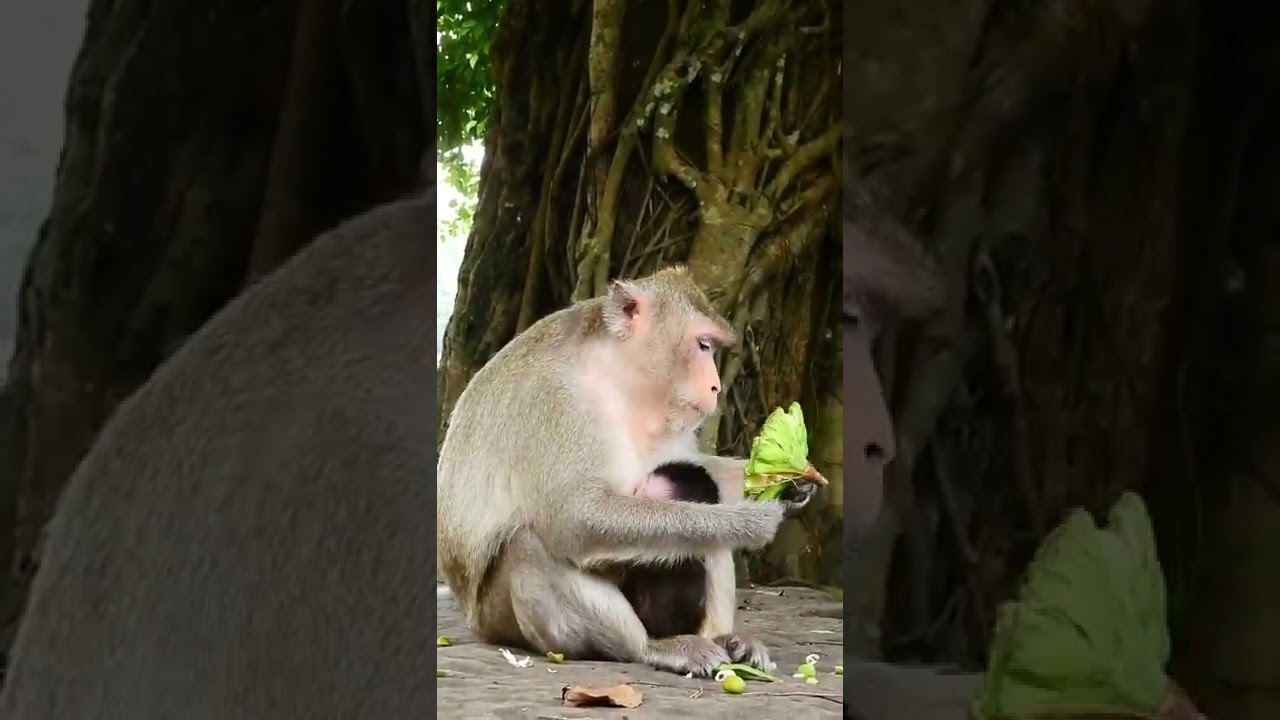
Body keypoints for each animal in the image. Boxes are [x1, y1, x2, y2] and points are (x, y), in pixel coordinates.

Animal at [435, 266, 790, 679]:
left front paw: (785, 481)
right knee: (528, 543)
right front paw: (750, 522)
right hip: (499, 619)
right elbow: (578, 519)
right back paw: (651, 647)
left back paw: (724, 639)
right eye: (703, 345)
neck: (615, 378)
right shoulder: (558, 400)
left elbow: (688, 471)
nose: (716, 386)